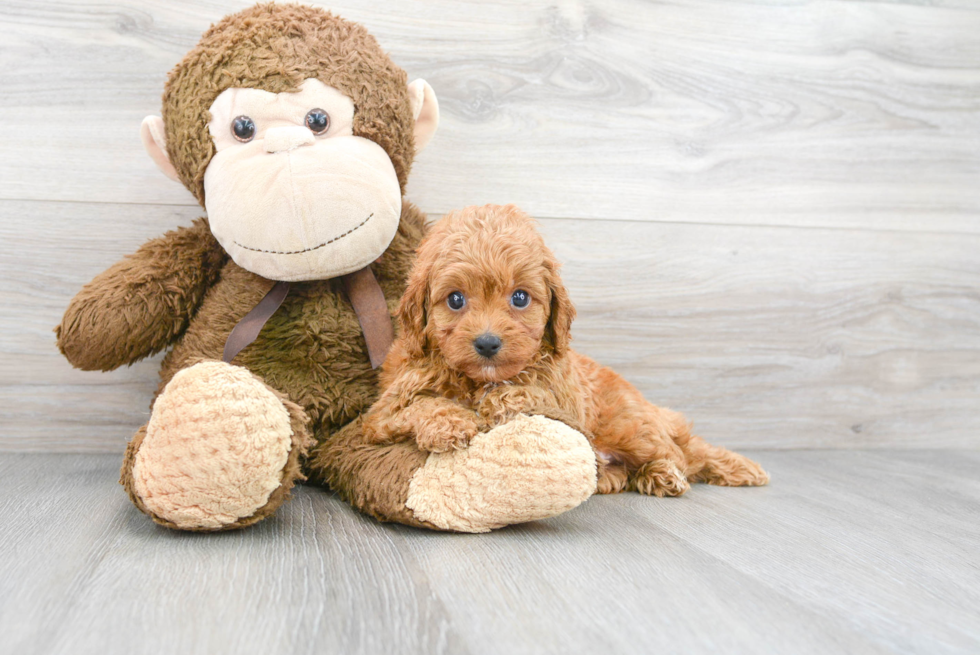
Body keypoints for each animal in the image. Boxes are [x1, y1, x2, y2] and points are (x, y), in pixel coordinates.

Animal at [364, 205, 768, 498]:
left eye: (520, 297)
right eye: (455, 299)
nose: (488, 342)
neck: (478, 381)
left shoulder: (567, 396)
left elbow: (531, 392)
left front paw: (498, 402)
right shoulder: (379, 416)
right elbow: (421, 405)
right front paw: (450, 422)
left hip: (633, 429)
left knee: (683, 453)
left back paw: (672, 473)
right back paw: (627, 477)